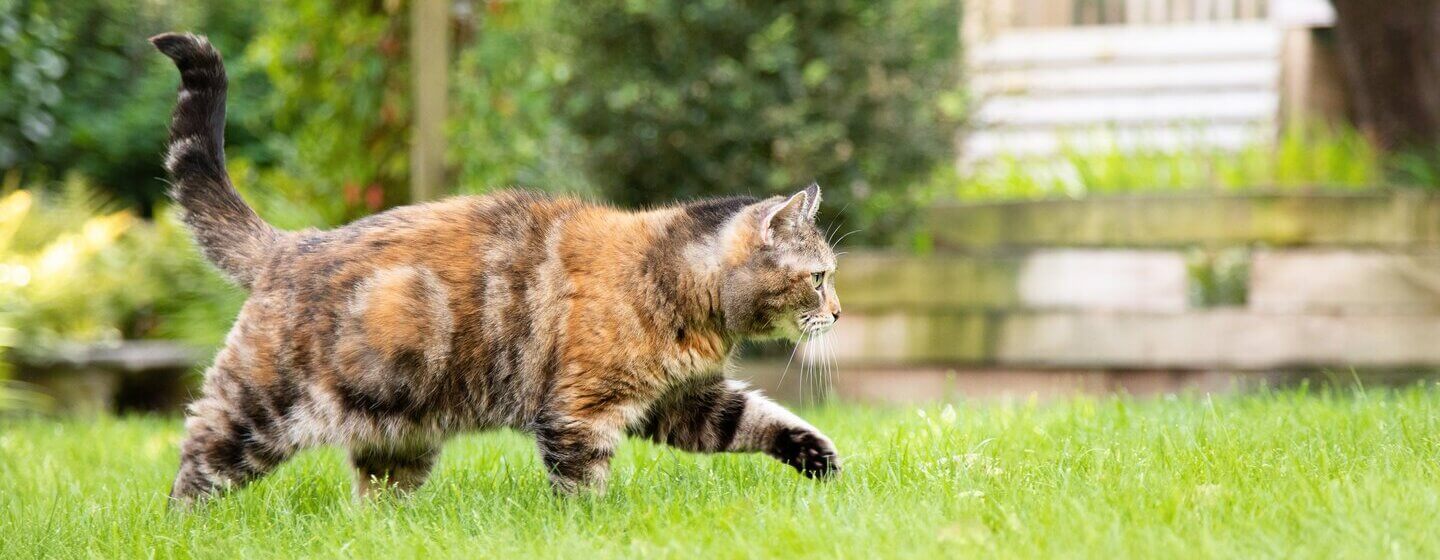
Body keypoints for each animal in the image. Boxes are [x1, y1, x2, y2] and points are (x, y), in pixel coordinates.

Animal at [149, 32, 840, 500]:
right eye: (820, 276)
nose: (837, 312)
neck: (673, 278)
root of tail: (293, 243)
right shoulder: (582, 410)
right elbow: (581, 484)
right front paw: (589, 524)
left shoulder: (683, 401)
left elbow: (759, 420)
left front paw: (819, 457)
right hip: (261, 410)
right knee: (199, 456)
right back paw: (187, 525)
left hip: (396, 433)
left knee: (375, 496)